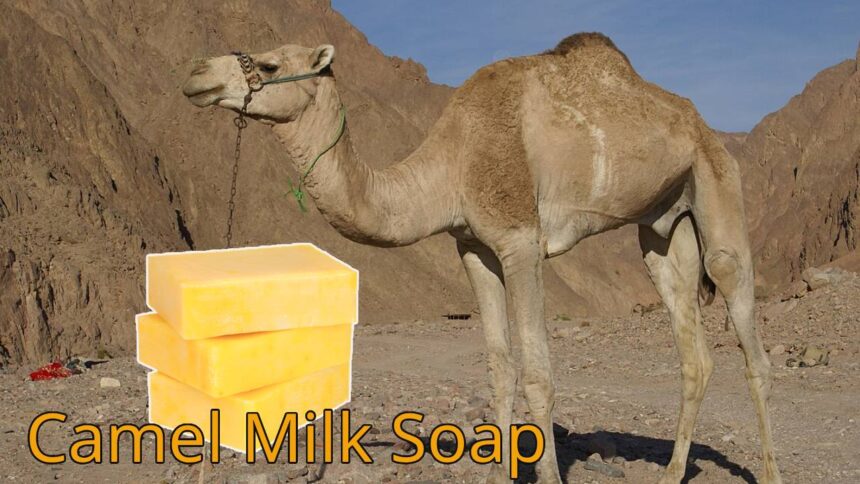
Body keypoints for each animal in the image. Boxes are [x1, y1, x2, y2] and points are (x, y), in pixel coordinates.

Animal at [182, 33, 782, 483]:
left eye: (269, 63)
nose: (196, 73)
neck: (453, 163)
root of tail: (703, 125)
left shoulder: (520, 242)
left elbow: (538, 372)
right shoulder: (472, 247)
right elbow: (499, 367)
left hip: (717, 181)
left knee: (745, 324)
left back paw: (770, 471)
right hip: (663, 223)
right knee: (691, 343)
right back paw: (673, 471)